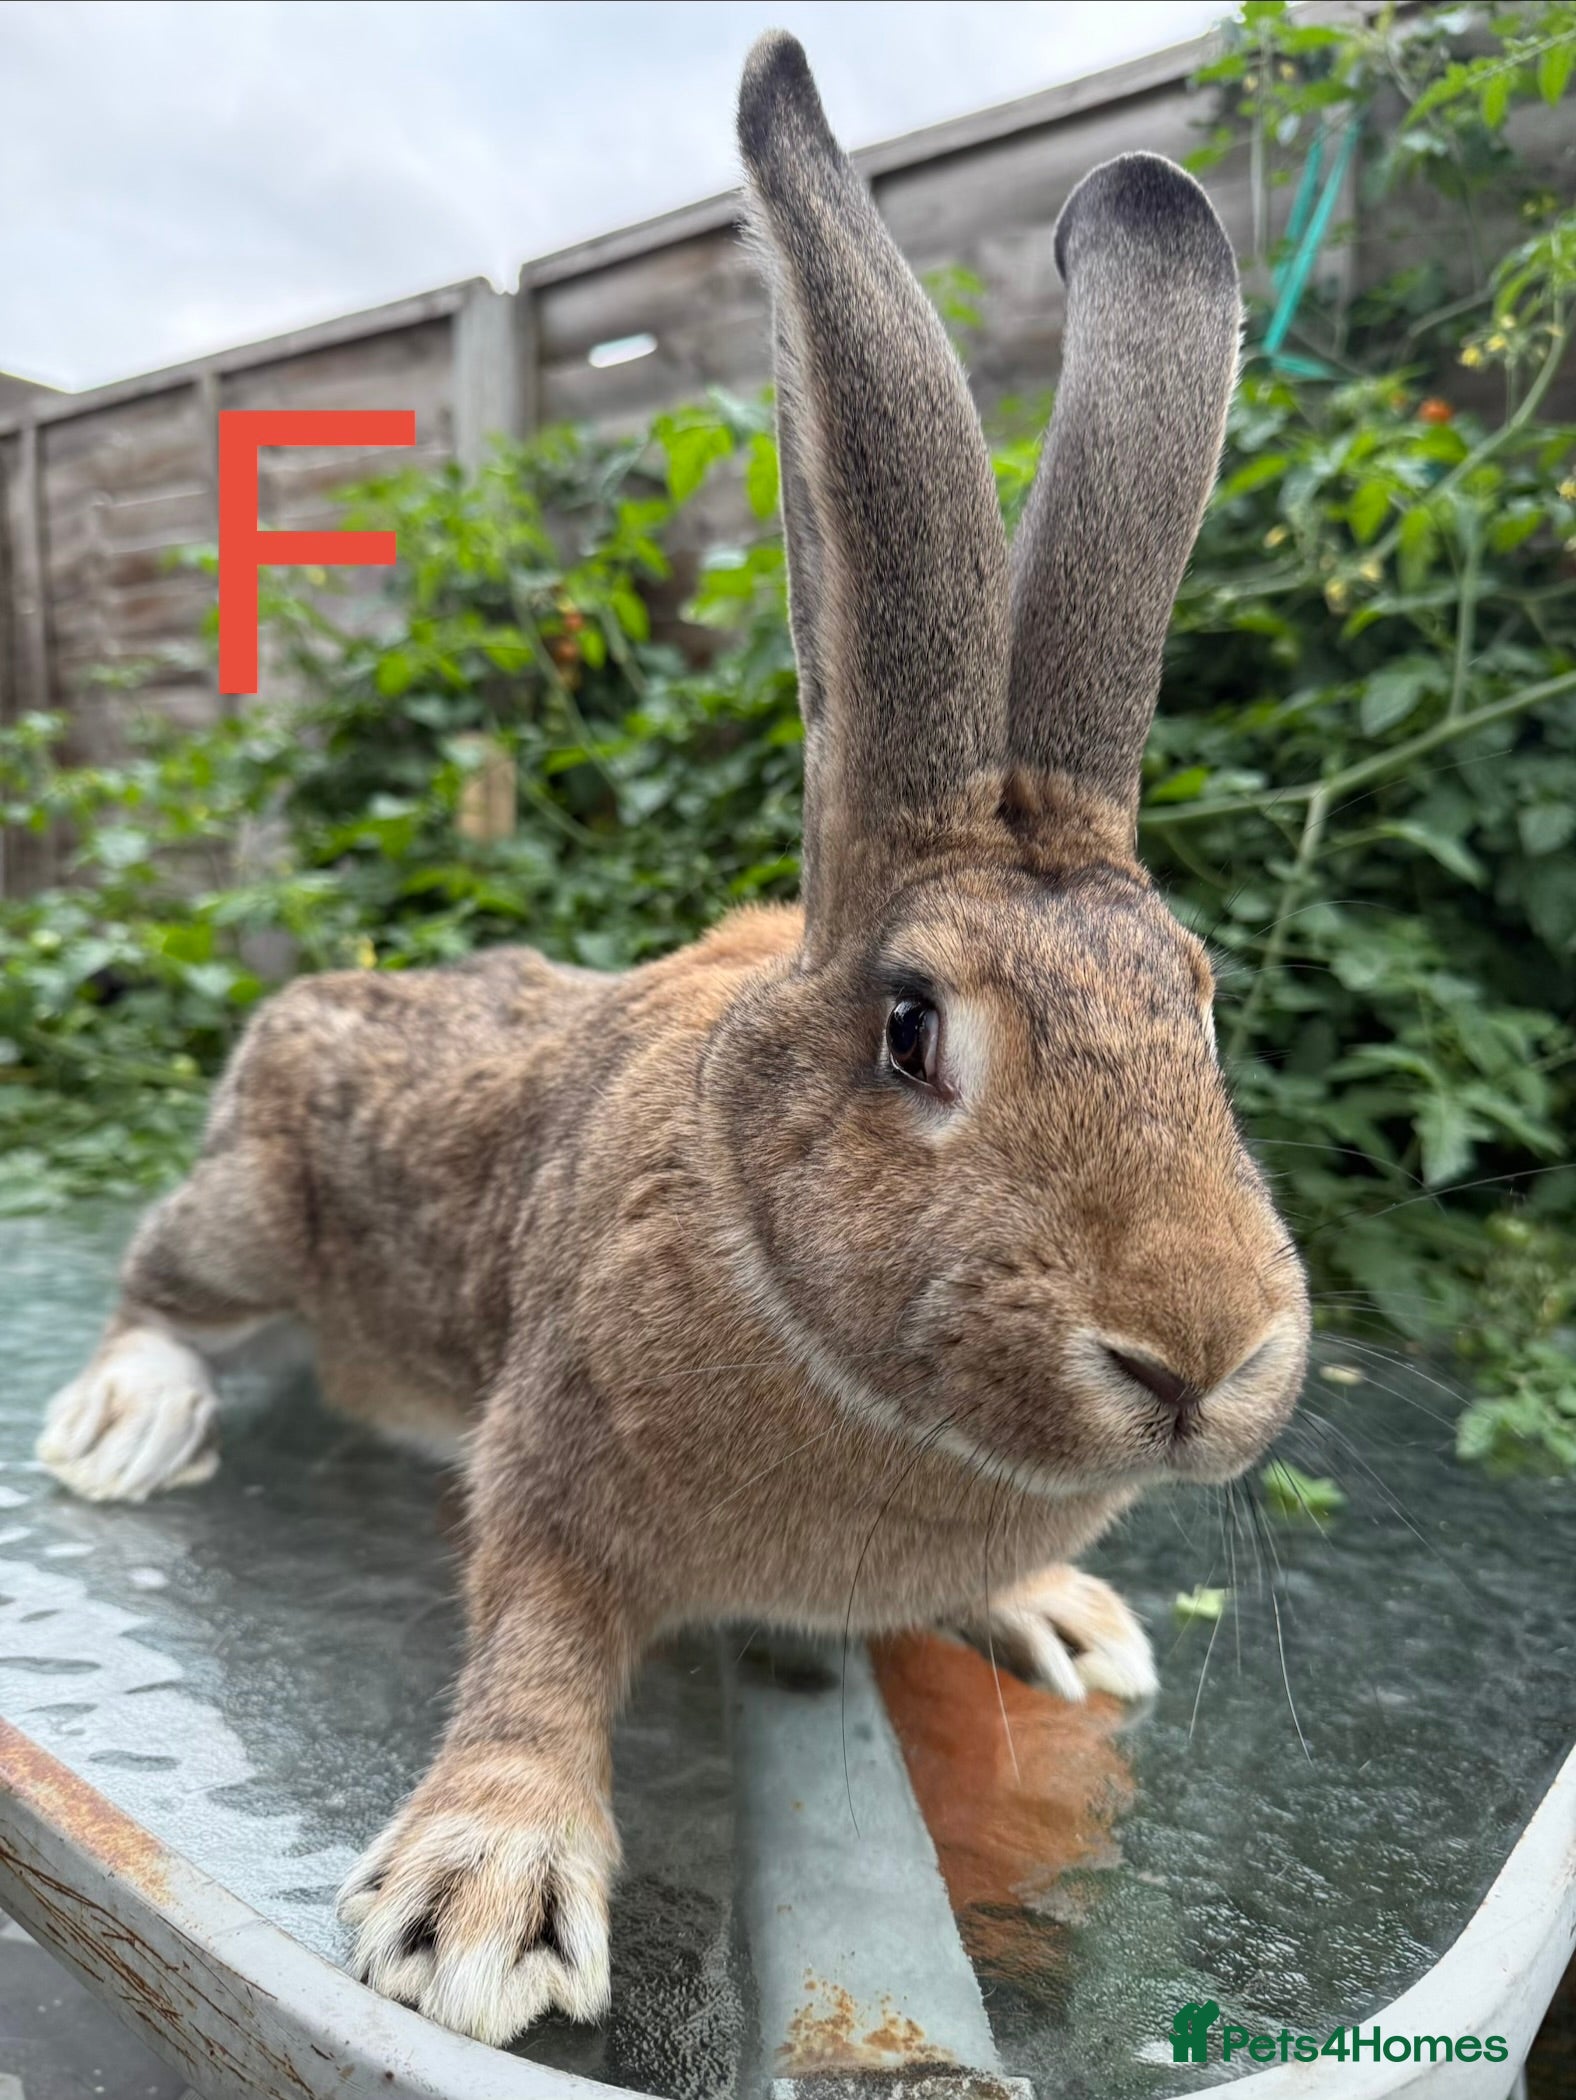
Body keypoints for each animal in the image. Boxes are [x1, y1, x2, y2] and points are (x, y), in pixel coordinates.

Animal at [36, 31, 1309, 2049]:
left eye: (1197, 1000)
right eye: (912, 1029)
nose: (1201, 1356)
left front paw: (1066, 1622)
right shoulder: (553, 1460)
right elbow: (539, 1644)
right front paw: (479, 1901)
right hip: (253, 1213)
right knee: (165, 1283)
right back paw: (124, 1422)